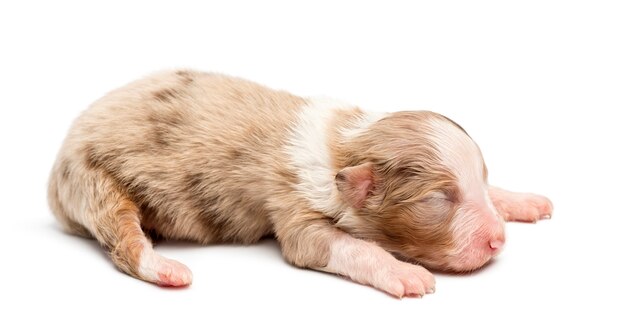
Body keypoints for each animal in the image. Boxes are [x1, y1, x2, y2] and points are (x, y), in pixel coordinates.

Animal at [48, 71, 552, 298]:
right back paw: (164, 266)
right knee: (122, 239)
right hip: (93, 181)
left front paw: (523, 199)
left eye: (479, 181)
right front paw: (403, 271)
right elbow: (338, 245)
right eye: (439, 198)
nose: (498, 240)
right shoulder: (292, 204)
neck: (345, 143)